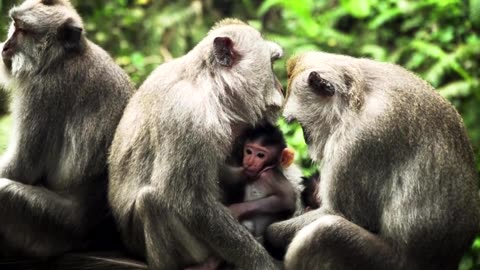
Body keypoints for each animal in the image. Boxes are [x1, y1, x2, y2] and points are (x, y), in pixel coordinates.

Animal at [0, 0, 134, 258]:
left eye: (22, 30)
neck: (61, 58)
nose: (5, 46)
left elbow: (20, 168)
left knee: (5, 192)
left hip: (53, 225)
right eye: (14, 24)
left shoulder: (42, 92)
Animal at [109, 19, 284, 270]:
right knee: (152, 200)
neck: (208, 86)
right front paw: (259, 261)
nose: (282, 88)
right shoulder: (187, 117)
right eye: (272, 64)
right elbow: (192, 202)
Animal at [264, 51, 480, 270]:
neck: (356, 100)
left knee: (325, 232)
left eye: (301, 124)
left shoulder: (357, 141)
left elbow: (340, 214)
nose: (307, 139)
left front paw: (271, 233)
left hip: (383, 262)